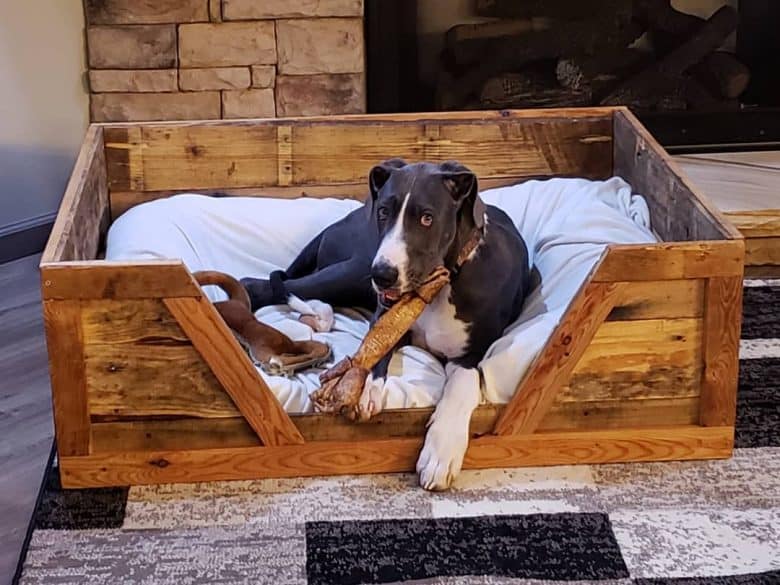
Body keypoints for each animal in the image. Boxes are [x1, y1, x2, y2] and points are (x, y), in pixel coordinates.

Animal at [242, 159, 532, 488]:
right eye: (383, 212)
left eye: (427, 218)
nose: (382, 274)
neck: (443, 284)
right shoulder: (385, 311)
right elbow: (378, 344)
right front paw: (368, 387)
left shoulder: (470, 356)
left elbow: (461, 388)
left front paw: (441, 452)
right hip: (353, 270)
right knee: (259, 285)